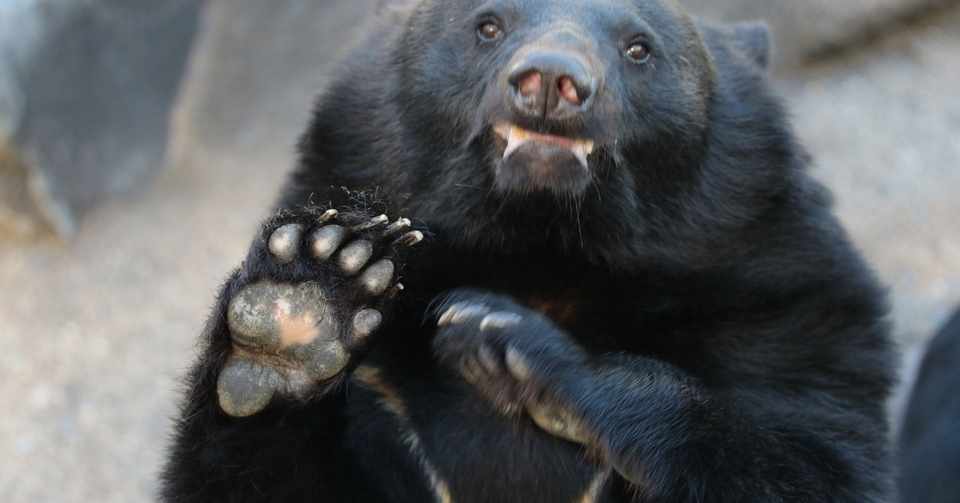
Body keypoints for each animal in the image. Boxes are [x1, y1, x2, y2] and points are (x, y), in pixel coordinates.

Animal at [163, 0, 892, 500]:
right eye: (488, 25)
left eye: (639, 47)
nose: (549, 80)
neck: (542, 254)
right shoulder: (384, 395)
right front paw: (309, 293)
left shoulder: (774, 300)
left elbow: (812, 455)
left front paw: (504, 343)